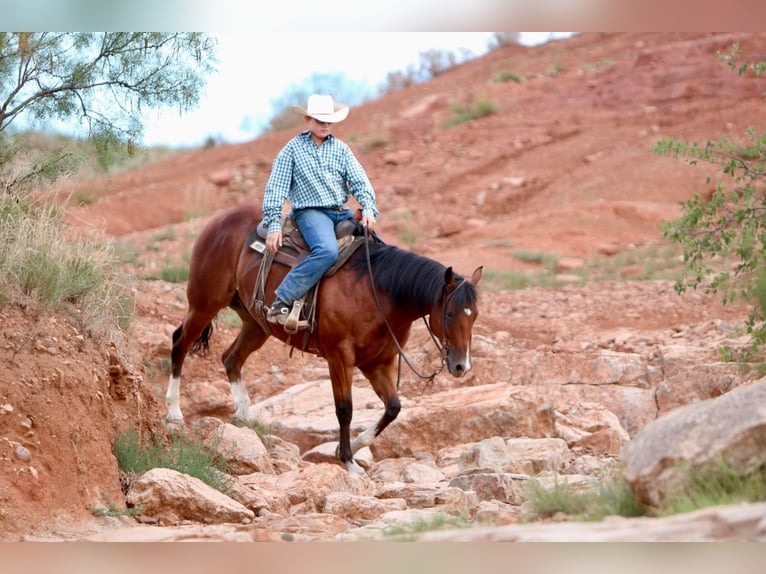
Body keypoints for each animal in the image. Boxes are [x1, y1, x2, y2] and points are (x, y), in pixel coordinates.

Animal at [167, 205, 484, 474]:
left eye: (475, 315)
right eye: (450, 313)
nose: (461, 366)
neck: (378, 291)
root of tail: (219, 219)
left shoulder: (378, 362)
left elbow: (393, 407)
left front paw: (356, 445)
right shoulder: (339, 357)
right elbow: (345, 409)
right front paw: (347, 460)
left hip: (255, 325)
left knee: (231, 358)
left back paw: (243, 418)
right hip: (204, 303)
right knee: (179, 344)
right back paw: (174, 414)